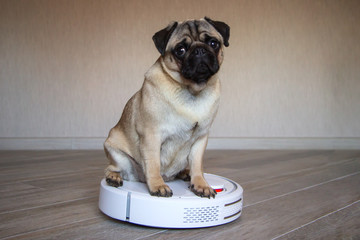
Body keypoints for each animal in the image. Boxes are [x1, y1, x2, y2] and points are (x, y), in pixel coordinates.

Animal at [104, 16, 229, 199]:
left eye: (213, 43)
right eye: (180, 50)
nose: (199, 50)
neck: (192, 90)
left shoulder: (200, 139)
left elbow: (198, 166)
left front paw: (201, 184)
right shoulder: (152, 136)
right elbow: (153, 164)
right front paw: (157, 186)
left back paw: (185, 173)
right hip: (116, 153)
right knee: (112, 168)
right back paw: (114, 177)